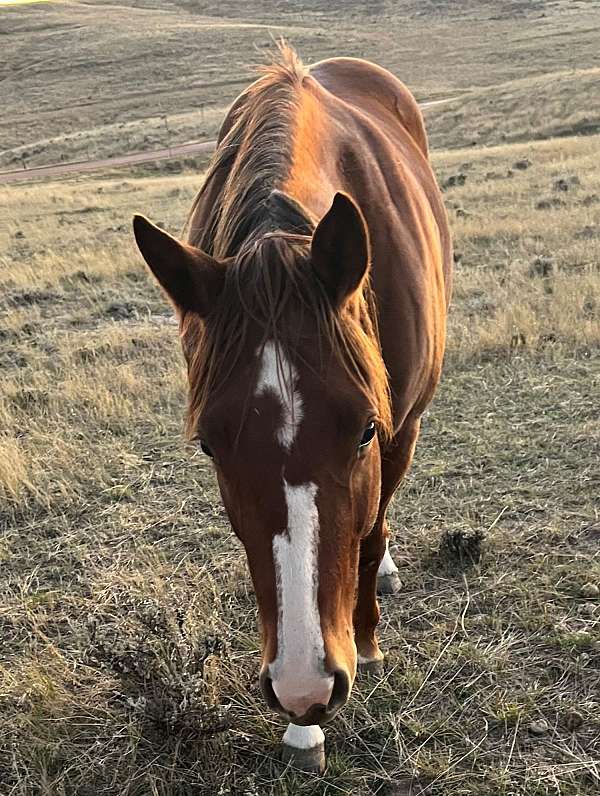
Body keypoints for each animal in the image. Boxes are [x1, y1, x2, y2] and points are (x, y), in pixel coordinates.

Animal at [134, 43, 452, 772]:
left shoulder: (398, 432)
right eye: (209, 444)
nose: (306, 684)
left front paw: (366, 642)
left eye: (363, 430)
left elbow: (367, 533)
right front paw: (304, 731)